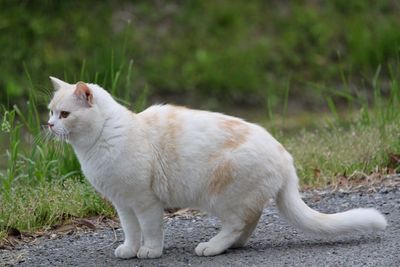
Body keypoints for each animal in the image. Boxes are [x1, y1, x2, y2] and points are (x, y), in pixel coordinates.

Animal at [47, 77, 388, 260]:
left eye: (64, 114)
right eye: (50, 111)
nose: (49, 125)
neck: (99, 141)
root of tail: (285, 155)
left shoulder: (145, 202)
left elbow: (151, 231)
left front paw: (150, 251)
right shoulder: (123, 204)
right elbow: (131, 231)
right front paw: (130, 250)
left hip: (221, 195)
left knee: (239, 222)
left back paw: (212, 247)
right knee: (249, 223)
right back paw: (229, 245)